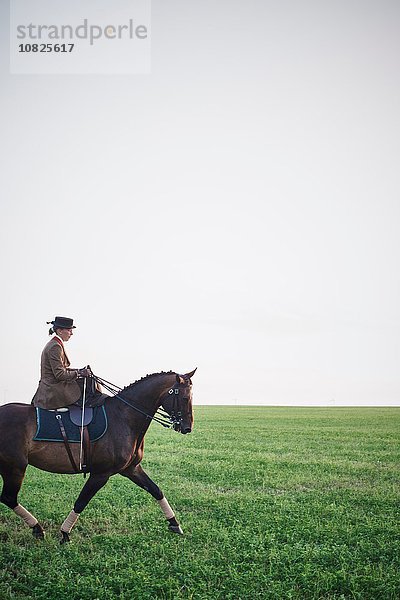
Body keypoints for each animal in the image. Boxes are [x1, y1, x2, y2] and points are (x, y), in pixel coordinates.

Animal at [0, 368, 195, 540]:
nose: (187, 428)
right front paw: (65, 533)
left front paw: (174, 523)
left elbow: (156, 490)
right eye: (185, 398)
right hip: (15, 468)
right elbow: (81, 502)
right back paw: (38, 528)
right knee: (9, 498)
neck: (124, 417)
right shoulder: (100, 474)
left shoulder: (132, 469)